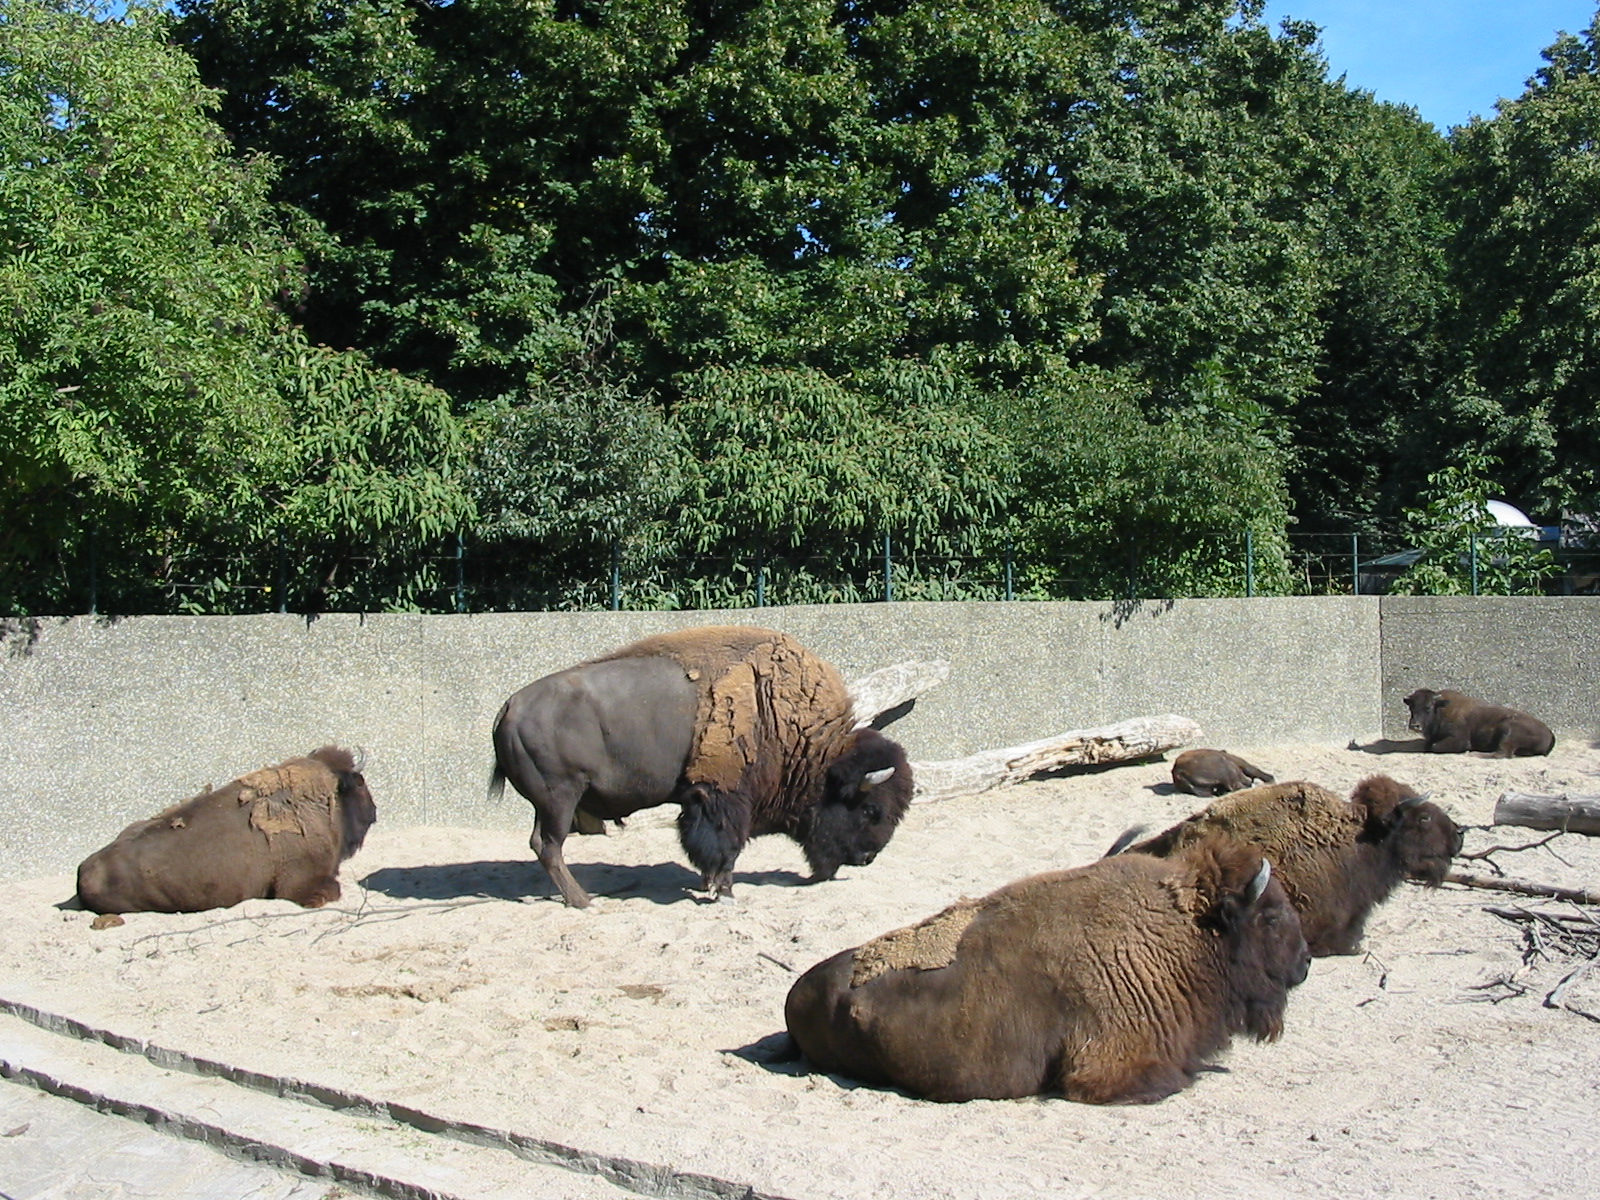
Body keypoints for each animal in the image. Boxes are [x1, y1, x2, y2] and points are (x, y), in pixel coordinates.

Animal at [489, 626, 913, 908]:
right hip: (561, 797)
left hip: (549, 803)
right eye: (870, 810)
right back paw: (582, 900)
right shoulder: (720, 798)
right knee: (549, 845)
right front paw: (724, 892)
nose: (866, 858)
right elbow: (725, 847)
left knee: (542, 845)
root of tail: (510, 706)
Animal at [784, 842, 1310, 1103]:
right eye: (1270, 917)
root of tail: (797, 993)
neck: (1188, 932)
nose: (1305, 962)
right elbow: (1174, 1079)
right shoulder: (1109, 1067)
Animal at [1403, 688, 1554, 757]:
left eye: (1428, 707)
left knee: (1502, 753)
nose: (1415, 725)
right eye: (1411, 707)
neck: (1440, 708)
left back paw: (1473, 753)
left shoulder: (1459, 739)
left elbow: (1433, 747)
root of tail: (1550, 732)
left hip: (1507, 730)